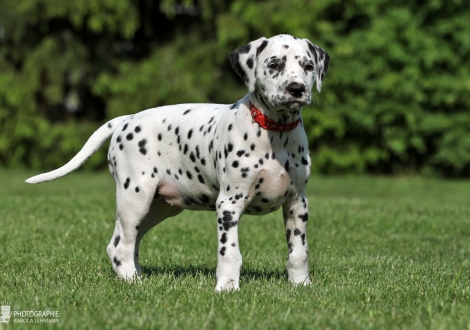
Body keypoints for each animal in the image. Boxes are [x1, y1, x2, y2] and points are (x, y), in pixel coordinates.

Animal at [26, 34, 326, 292]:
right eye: (274, 64)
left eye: (308, 66)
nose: (296, 89)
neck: (275, 132)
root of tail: (125, 119)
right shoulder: (229, 205)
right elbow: (229, 252)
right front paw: (227, 288)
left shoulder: (297, 203)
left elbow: (299, 252)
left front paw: (301, 285)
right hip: (135, 198)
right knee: (122, 246)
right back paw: (134, 282)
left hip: (158, 207)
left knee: (121, 243)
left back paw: (135, 275)